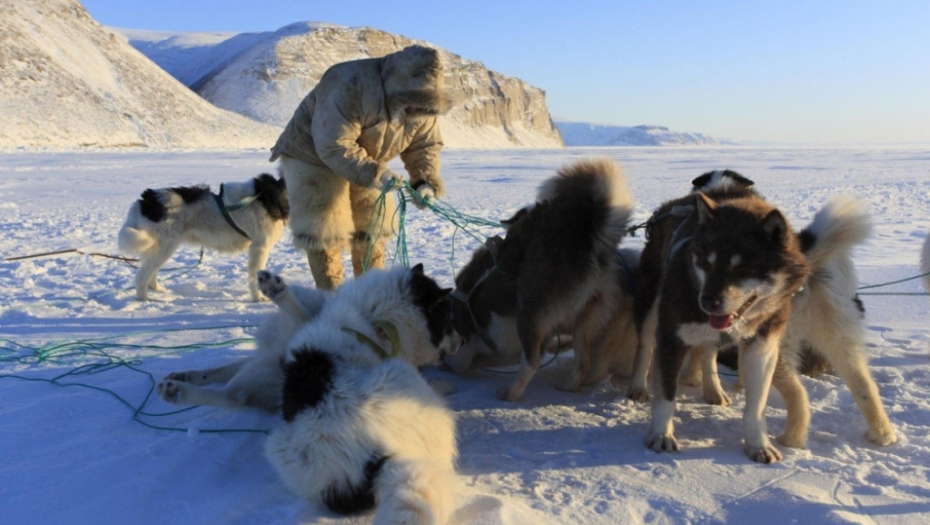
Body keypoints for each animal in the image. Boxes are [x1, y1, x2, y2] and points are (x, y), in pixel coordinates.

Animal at [118, 173, 288, 300]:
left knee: (150, 271)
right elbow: (255, 276)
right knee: (142, 275)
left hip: (159, 247)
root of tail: (146, 199)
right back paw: (145, 301)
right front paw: (258, 298)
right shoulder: (260, 247)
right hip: (164, 246)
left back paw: (158, 290)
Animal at [164, 266, 464, 524]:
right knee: (232, 393)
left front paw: (276, 289)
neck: (375, 320)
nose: (462, 341)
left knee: (234, 396)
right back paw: (178, 389)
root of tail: (385, 454)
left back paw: (179, 392)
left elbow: (298, 315)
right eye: (448, 319)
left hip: (281, 443)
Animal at [444, 158, 640, 400]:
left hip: (529, 311)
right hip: (585, 320)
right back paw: (568, 386)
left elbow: (467, 362)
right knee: (582, 363)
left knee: (531, 363)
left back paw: (512, 392)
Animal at [632, 169, 892, 462]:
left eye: (743, 268)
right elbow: (666, 396)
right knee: (645, 344)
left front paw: (757, 444)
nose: (707, 302)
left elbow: (755, 406)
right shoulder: (672, 337)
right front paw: (661, 434)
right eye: (706, 262)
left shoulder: (761, 346)